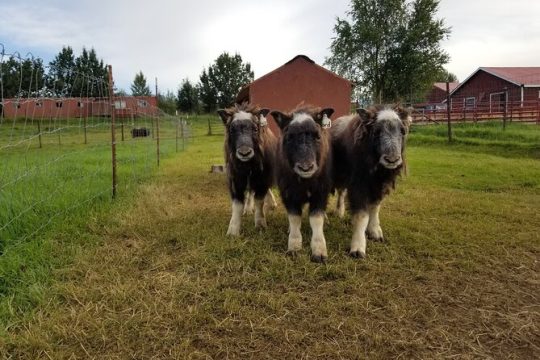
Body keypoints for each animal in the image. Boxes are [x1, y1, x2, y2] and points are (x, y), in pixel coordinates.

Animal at [217, 102, 278, 236]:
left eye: (255, 129)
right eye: (232, 130)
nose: (244, 153)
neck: (247, 165)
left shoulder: (262, 180)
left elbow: (259, 202)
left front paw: (260, 225)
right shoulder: (235, 181)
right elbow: (237, 206)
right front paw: (232, 232)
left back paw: (272, 204)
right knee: (249, 193)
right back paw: (248, 209)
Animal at [272, 104, 336, 262]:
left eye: (317, 136)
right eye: (289, 137)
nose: (306, 167)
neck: (305, 181)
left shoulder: (320, 193)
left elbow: (316, 219)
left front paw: (319, 251)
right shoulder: (288, 194)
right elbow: (295, 218)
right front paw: (294, 247)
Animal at [332, 104, 412, 258]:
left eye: (402, 130)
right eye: (376, 131)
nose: (392, 159)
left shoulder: (380, 186)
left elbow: (375, 208)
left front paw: (375, 232)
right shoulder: (359, 186)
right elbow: (362, 215)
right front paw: (358, 248)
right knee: (341, 192)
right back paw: (339, 213)